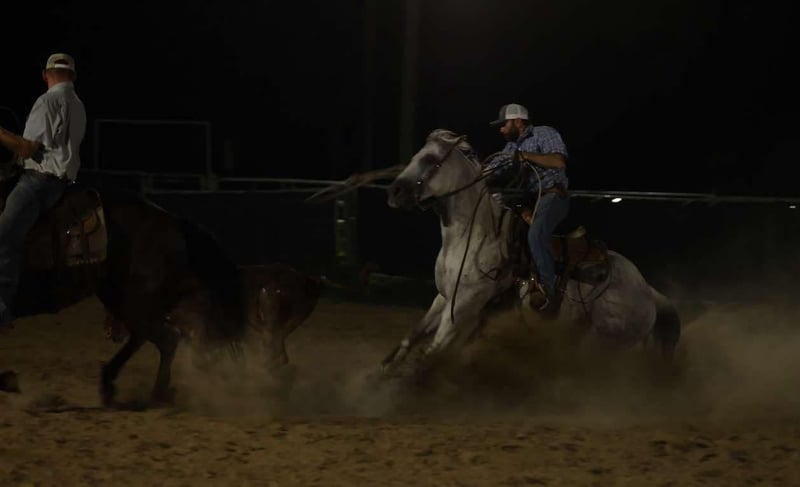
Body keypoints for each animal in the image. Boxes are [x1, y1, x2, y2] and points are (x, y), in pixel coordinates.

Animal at [380, 129, 680, 376]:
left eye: (430, 160)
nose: (394, 191)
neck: (474, 235)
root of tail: (647, 290)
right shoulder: (444, 298)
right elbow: (412, 337)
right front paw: (383, 372)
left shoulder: (465, 305)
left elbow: (432, 354)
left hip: (601, 342)